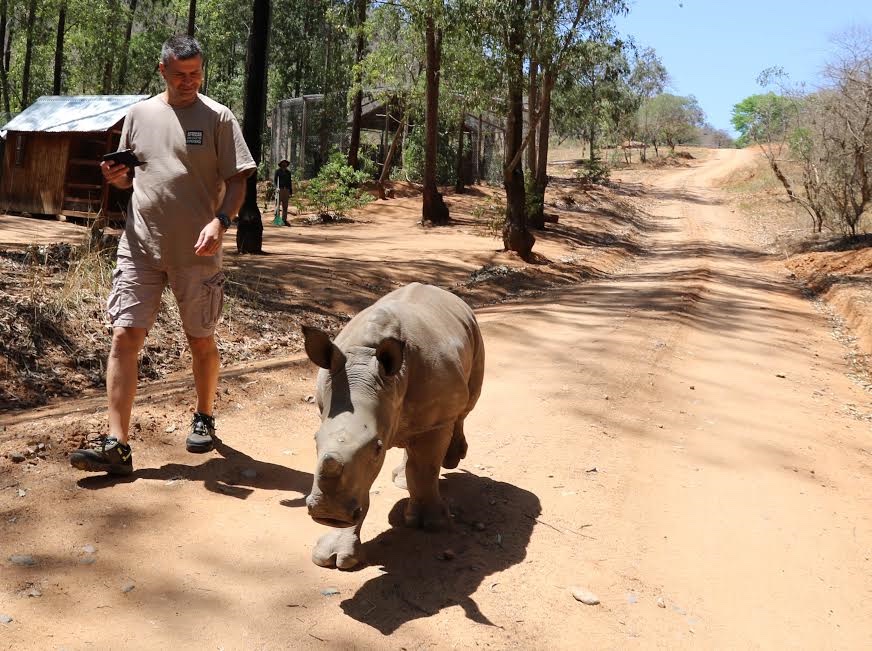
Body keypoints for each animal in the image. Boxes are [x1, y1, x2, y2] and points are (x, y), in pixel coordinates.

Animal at [302, 282, 485, 569]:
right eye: (314, 440)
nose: (328, 513)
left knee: (466, 405)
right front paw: (333, 554)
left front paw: (431, 524)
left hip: (474, 334)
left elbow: (425, 468)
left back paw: (453, 458)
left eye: (378, 447)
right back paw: (401, 480)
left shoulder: (435, 421)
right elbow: (361, 483)